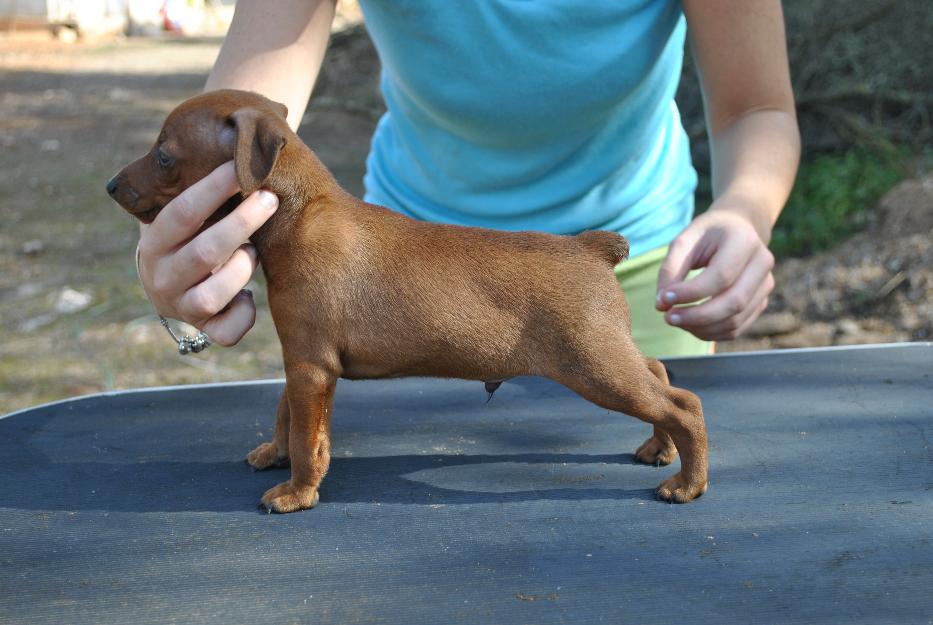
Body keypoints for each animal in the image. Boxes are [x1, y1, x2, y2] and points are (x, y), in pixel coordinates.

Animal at [107, 90, 708, 516]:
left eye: (164, 157)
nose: (111, 186)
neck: (299, 211)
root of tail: (590, 247)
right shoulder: (301, 358)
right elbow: (285, 413)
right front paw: (274, 454)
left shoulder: (311, 366)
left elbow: (306, 434)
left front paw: (297, 492)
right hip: (607, 349)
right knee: (658, 372)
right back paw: (659, 450)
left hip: (592, 364)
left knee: (682, 404)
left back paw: (687, 483)